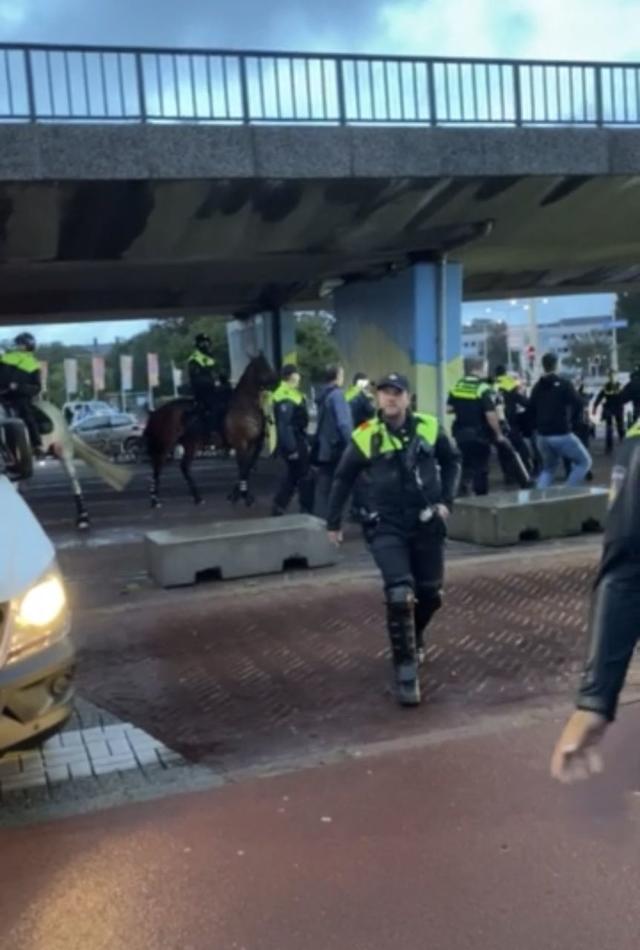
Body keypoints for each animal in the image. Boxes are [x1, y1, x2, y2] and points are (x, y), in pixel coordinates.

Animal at [145, 356, 276, 506]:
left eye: (268, 364)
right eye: (262, 367)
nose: (277, 381)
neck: (244, 406)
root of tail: (157, 412)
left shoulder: (253, 445)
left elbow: (247, 467)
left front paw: (235, 495)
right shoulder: (241, 444)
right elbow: (243, 467)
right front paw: (245, 496)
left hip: (190, 445)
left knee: (184, 467)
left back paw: (197, 498)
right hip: (166, 445)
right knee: (158, 467)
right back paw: (155, 500)